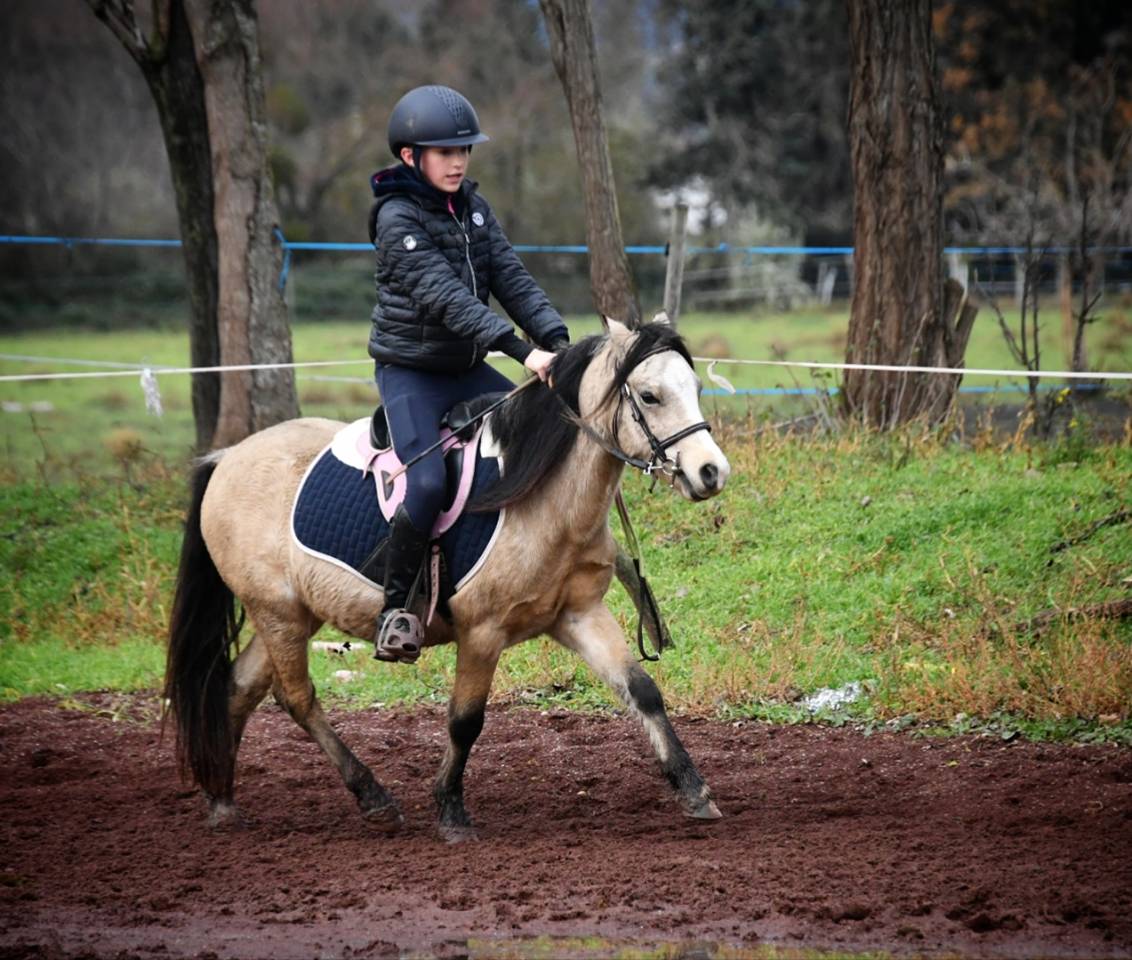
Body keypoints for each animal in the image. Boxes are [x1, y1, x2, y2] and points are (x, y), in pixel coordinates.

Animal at [165, 319, 731, 837]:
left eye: (696, 388)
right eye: (650, 395)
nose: (711, 472)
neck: (544, 498)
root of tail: (227, 457)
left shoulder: (579, 615)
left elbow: (642, 690)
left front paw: (694, 790)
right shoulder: (482, 632)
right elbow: (465, 720)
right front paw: (452, 813)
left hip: (289, 616)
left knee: (241, 688)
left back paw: (222, 801)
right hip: (277, 612)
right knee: (298, 698)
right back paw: (372, 796)